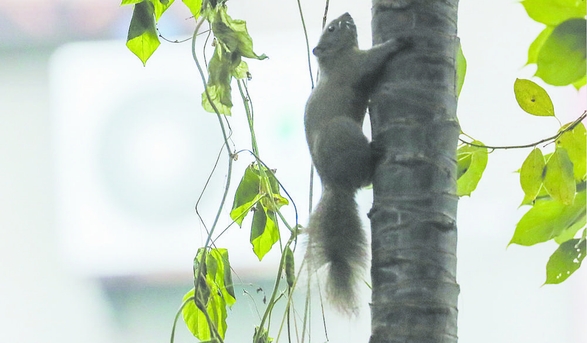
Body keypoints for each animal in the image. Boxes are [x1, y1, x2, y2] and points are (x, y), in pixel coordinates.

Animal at [304, 12, 408, 314]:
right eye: (331, 28)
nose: (347, 15)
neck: (335, 59)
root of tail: (335, 184)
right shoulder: (355, 65)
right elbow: (373, 58)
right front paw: (397, 42)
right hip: (343, 131)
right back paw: (375, 151)